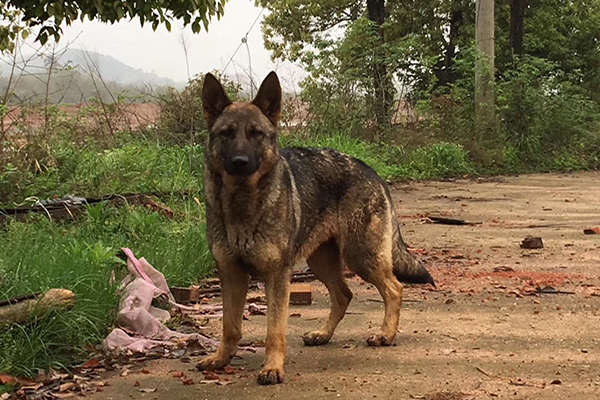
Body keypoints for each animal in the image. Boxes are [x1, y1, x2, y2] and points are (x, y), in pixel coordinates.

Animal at [198, 72, 436, 384]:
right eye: (226, 133)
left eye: (255, 134)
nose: (239, 163)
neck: (243, 201)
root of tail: (370, 170)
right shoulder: (231, 275)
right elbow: (230, 326)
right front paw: (222, 359)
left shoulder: (277, 277)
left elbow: (274, 329)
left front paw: (272, 367)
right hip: (321, 261)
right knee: (344, 295)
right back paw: (323, 334)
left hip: (361, 256)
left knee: (394, 288)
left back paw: (385, 334)